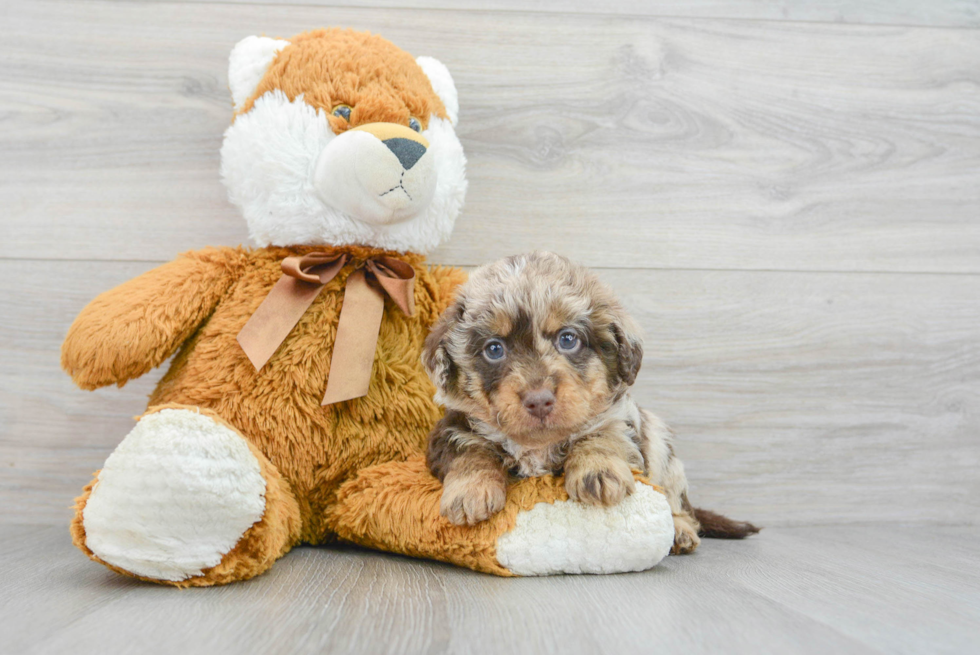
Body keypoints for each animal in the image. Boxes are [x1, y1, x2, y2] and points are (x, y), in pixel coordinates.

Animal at [422, 251, 756, 552]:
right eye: (494, 349)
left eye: (568, 339)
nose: (539, 401)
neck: (538, 445)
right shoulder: (452, 428)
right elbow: (471, 451)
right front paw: (470, 490)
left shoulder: (620, 419)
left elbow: (602, 434)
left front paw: (598, 469)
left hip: (662, 448)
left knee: (678, 502)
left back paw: (682, 531)